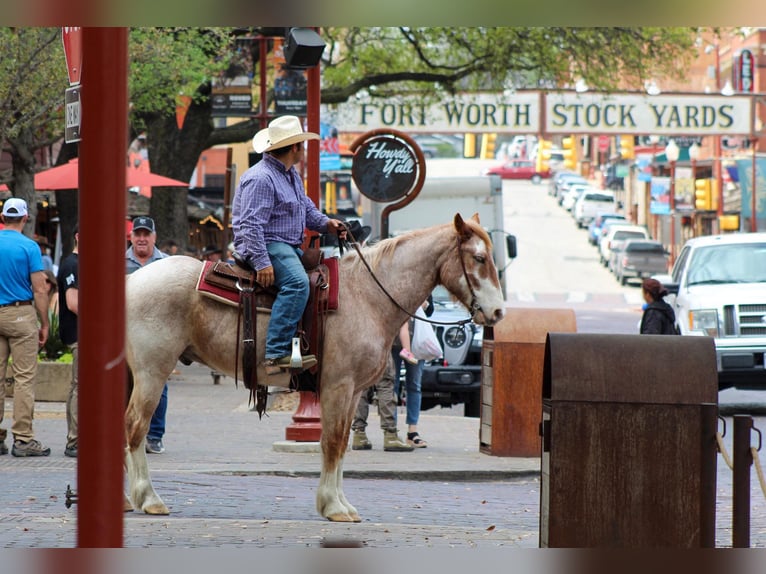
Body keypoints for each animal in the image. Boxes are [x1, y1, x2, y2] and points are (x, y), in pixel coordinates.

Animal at [124, 213, 506, 522]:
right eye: (479, 258)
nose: (499, 312)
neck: (367, 296)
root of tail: (133, 280)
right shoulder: (338, 386)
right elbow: (333, 442)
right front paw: (334, 507)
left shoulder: (353, 391)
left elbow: (342, 444)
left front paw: (341, 504)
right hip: (152, 372)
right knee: (136, 426)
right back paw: (148, 499)